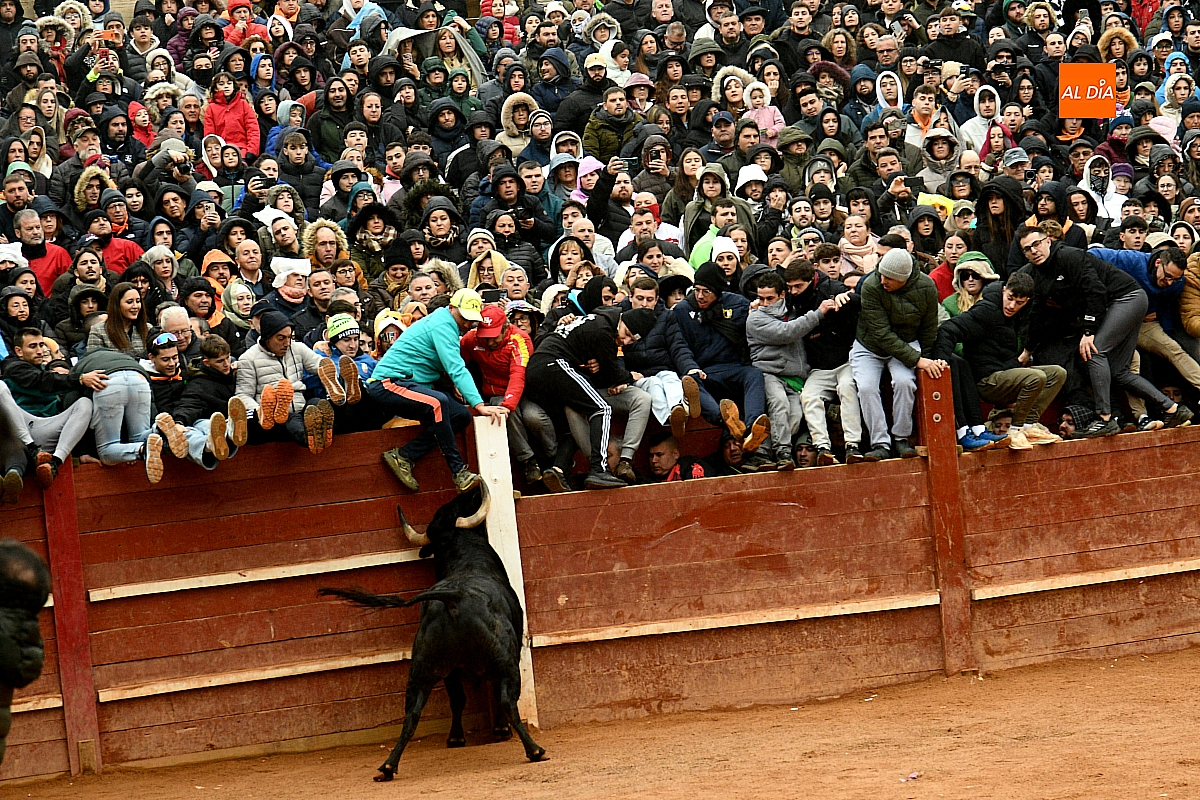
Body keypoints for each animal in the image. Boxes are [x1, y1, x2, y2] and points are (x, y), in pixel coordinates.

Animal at [320, 484, 546, 781]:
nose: (472, 490)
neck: (464, 558)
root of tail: (454, 597)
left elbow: (457, 699)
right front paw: (500, 731)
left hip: (423, 667)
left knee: (414, 712)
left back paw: (390, 765)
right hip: (504, 662)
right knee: (507, 700)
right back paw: (534, 750)